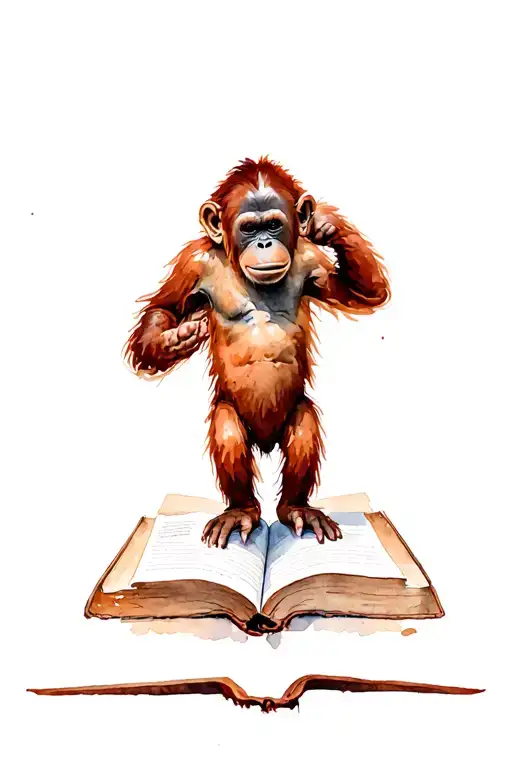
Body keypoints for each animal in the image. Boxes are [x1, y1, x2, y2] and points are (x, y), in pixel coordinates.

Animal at [125, 158, 390, 548]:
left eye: (274, 225)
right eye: (249, 228)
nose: (264, 242)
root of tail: (265, 444)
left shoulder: (311, 260)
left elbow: (365, 293)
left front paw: (327, 223)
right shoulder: (194, 262)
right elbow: (164, 308)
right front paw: (176, 338)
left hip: (293, 416)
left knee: (304, 424)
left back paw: (296, 509)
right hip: (232, 413)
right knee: (227, 429)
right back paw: (241, 512)